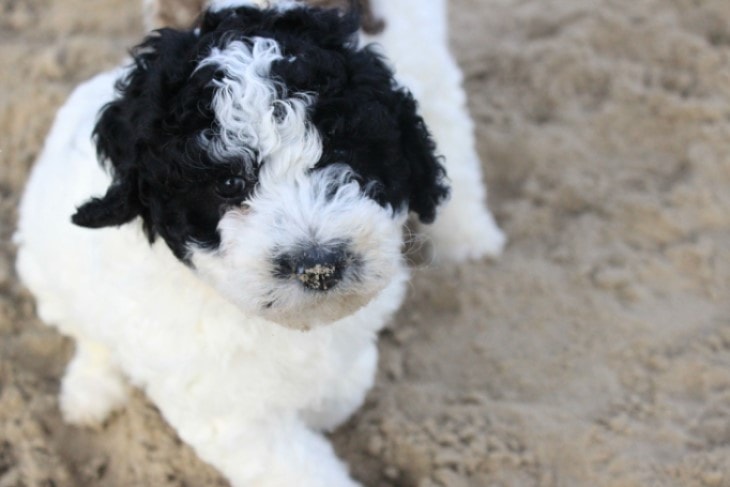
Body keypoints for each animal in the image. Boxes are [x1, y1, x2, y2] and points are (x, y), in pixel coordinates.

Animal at [15, 0, 500, 487]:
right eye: (229, 182)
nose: (319, 266)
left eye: (343, 154)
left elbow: (347, 382)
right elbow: (297, 465)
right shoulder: (229, 412)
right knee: (87, 333)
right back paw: (90, 392)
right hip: (44, 271)